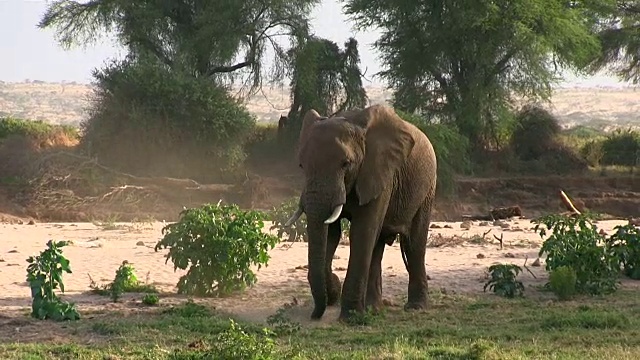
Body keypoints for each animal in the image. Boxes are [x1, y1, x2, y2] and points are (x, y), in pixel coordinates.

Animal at [284, 103, 436, 320]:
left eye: (346, 164)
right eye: (301, 165)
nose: (315, 315)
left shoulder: (379, 172)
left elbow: (362, 231)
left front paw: (351, 317)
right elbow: (332, 233)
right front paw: (336, 292)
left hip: (427, 188)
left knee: (413, 244)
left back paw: (415, 307)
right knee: (378, 246)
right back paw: (374, 308)